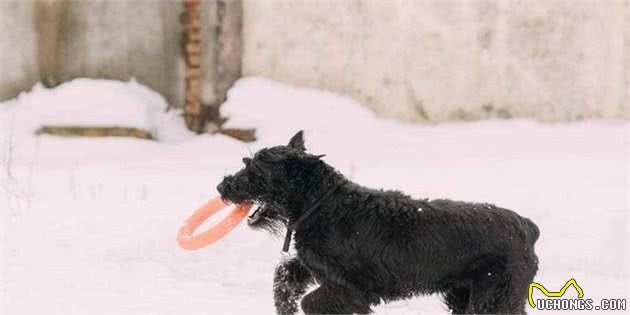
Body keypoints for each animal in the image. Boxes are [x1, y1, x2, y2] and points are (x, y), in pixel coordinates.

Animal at [217, 131, 540, 315]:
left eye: (257, 173)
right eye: (247, 163)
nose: (222, 187)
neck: (322, 204)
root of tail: (527, 228)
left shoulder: (350, 289)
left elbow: (312, 302)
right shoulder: (316, 269)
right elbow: (284, 274)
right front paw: (284, 305)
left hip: (494, 299)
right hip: (463, 297)